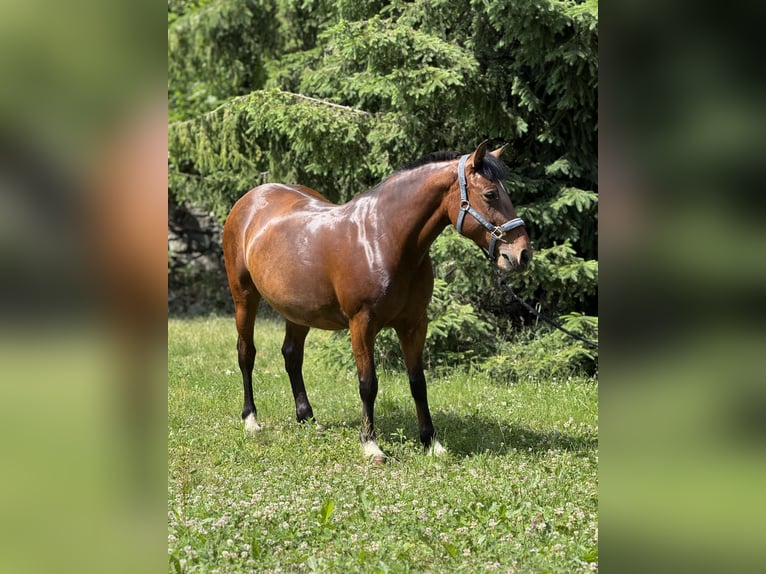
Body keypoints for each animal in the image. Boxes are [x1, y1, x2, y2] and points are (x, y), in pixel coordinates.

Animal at [222, 141, 532, 463]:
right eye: (490, 194)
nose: (522, 254)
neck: (383, 238)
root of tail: (252, 198)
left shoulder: (414, 324)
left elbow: (418, 382)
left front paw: (431, 442)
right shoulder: (362, 324)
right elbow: (368, 384)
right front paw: (371, 444)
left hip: (299, 312)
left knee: (292, 356)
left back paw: (307, 419)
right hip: (244, 298)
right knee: (246, 353)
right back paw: (251, 420)